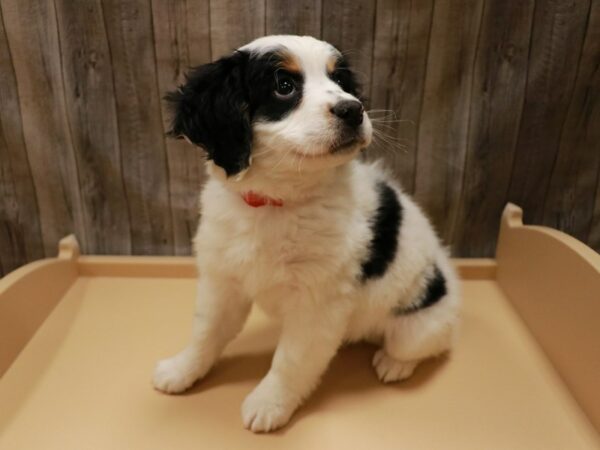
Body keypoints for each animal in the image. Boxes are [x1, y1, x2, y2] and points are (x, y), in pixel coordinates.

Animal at [154, 35, 460, 432]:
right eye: (284, 85)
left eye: (341, 82)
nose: (353, 109)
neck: (276, 203)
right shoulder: (223, 279)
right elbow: (206, 331)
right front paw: (181, 370)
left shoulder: (317, 303)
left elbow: (291, 359)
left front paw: (269, 403)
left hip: (419, 326)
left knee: (421, 346)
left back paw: (394, 363)